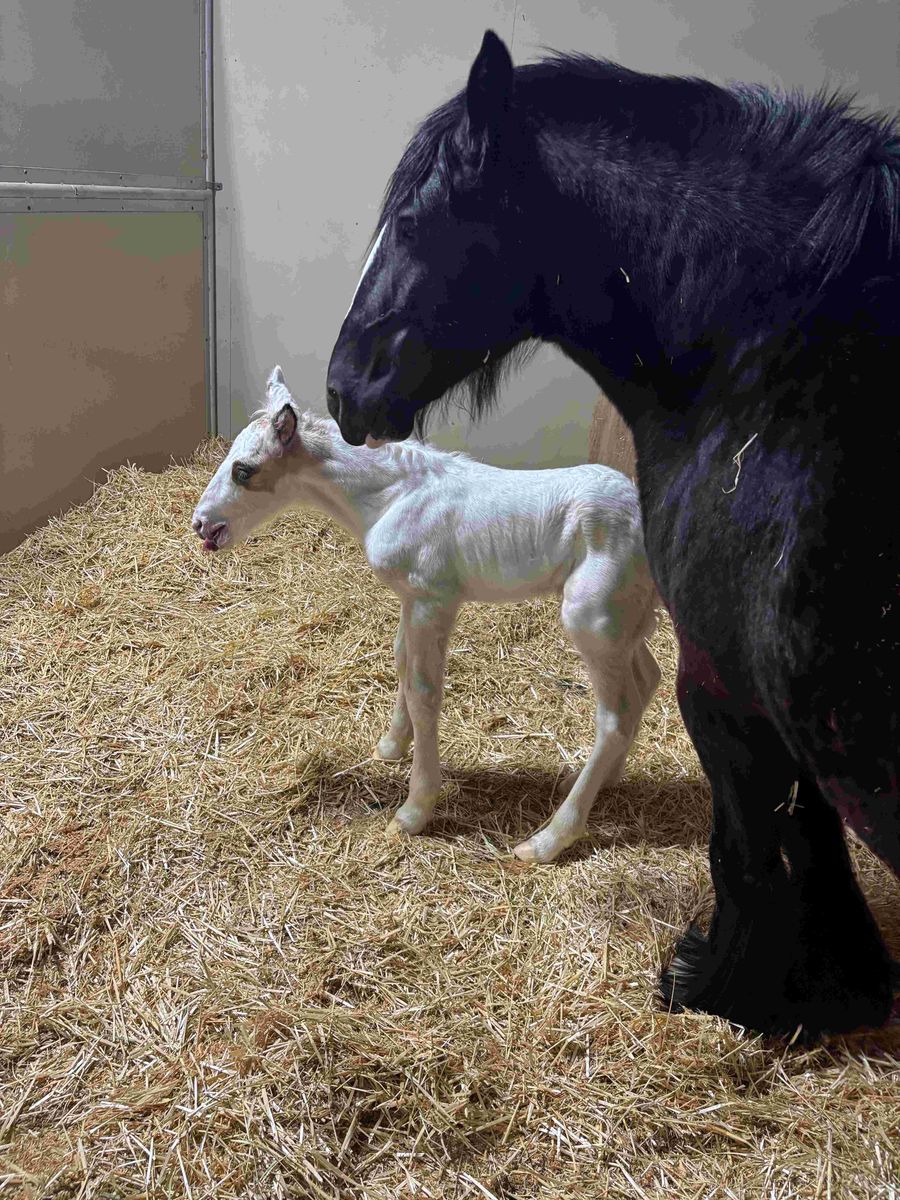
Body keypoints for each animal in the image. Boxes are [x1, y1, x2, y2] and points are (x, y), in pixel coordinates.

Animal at [192, 366, 660, 862]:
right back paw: (604, 782)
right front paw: (391, 746)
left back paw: (547, 840)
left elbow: (424, 692)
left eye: (244, 470)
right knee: (646, 681)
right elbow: (400, 661)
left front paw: (414, 811)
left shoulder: (433, 599)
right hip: (624, 621)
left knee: (614, 717)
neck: (391, 497)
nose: (201, 525)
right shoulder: (409, 598)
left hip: (592, 619)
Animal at [324, 30, 900, 1038]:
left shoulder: (725, 684)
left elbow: (753, 846)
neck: (771, 367)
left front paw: (726, 988)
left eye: (413, 217)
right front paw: (837, 989)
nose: (341, 384)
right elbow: (811, 838)